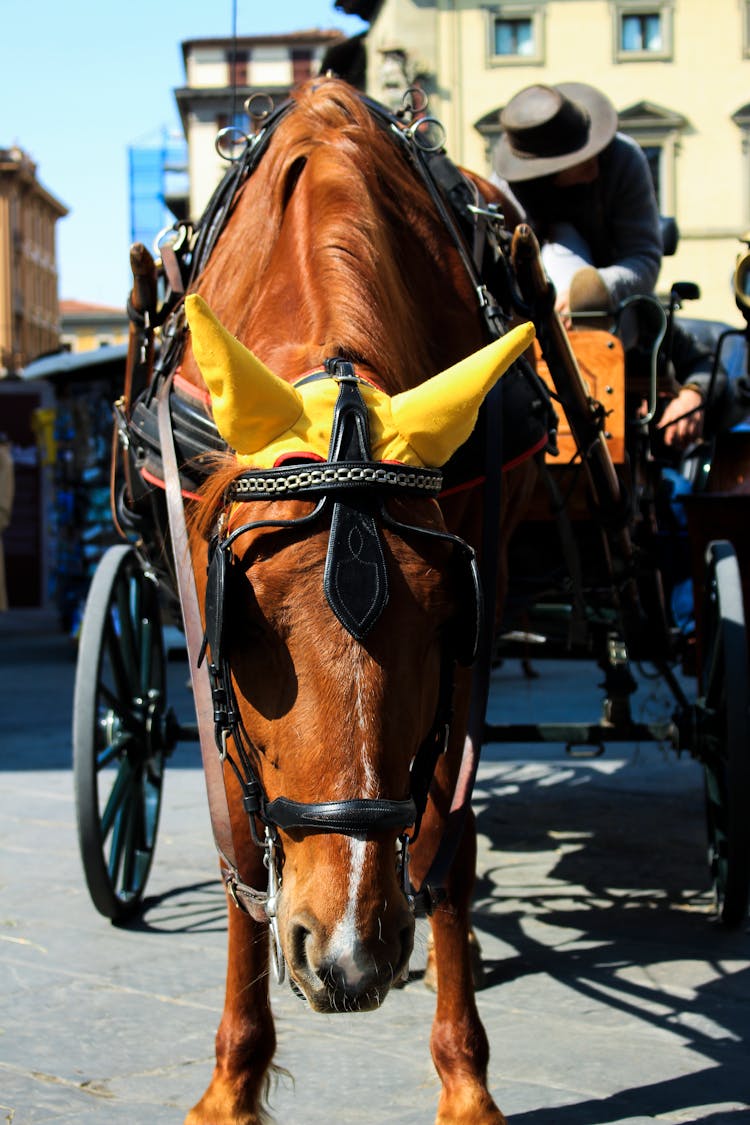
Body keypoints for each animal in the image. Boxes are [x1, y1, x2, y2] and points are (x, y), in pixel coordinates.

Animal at [174, 74, 539, 1120]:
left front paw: (466, 1078)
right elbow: (237, 836)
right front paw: (232, 1079)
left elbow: (451, 827)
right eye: (242, 626)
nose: (347, 957)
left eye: (449, 617)